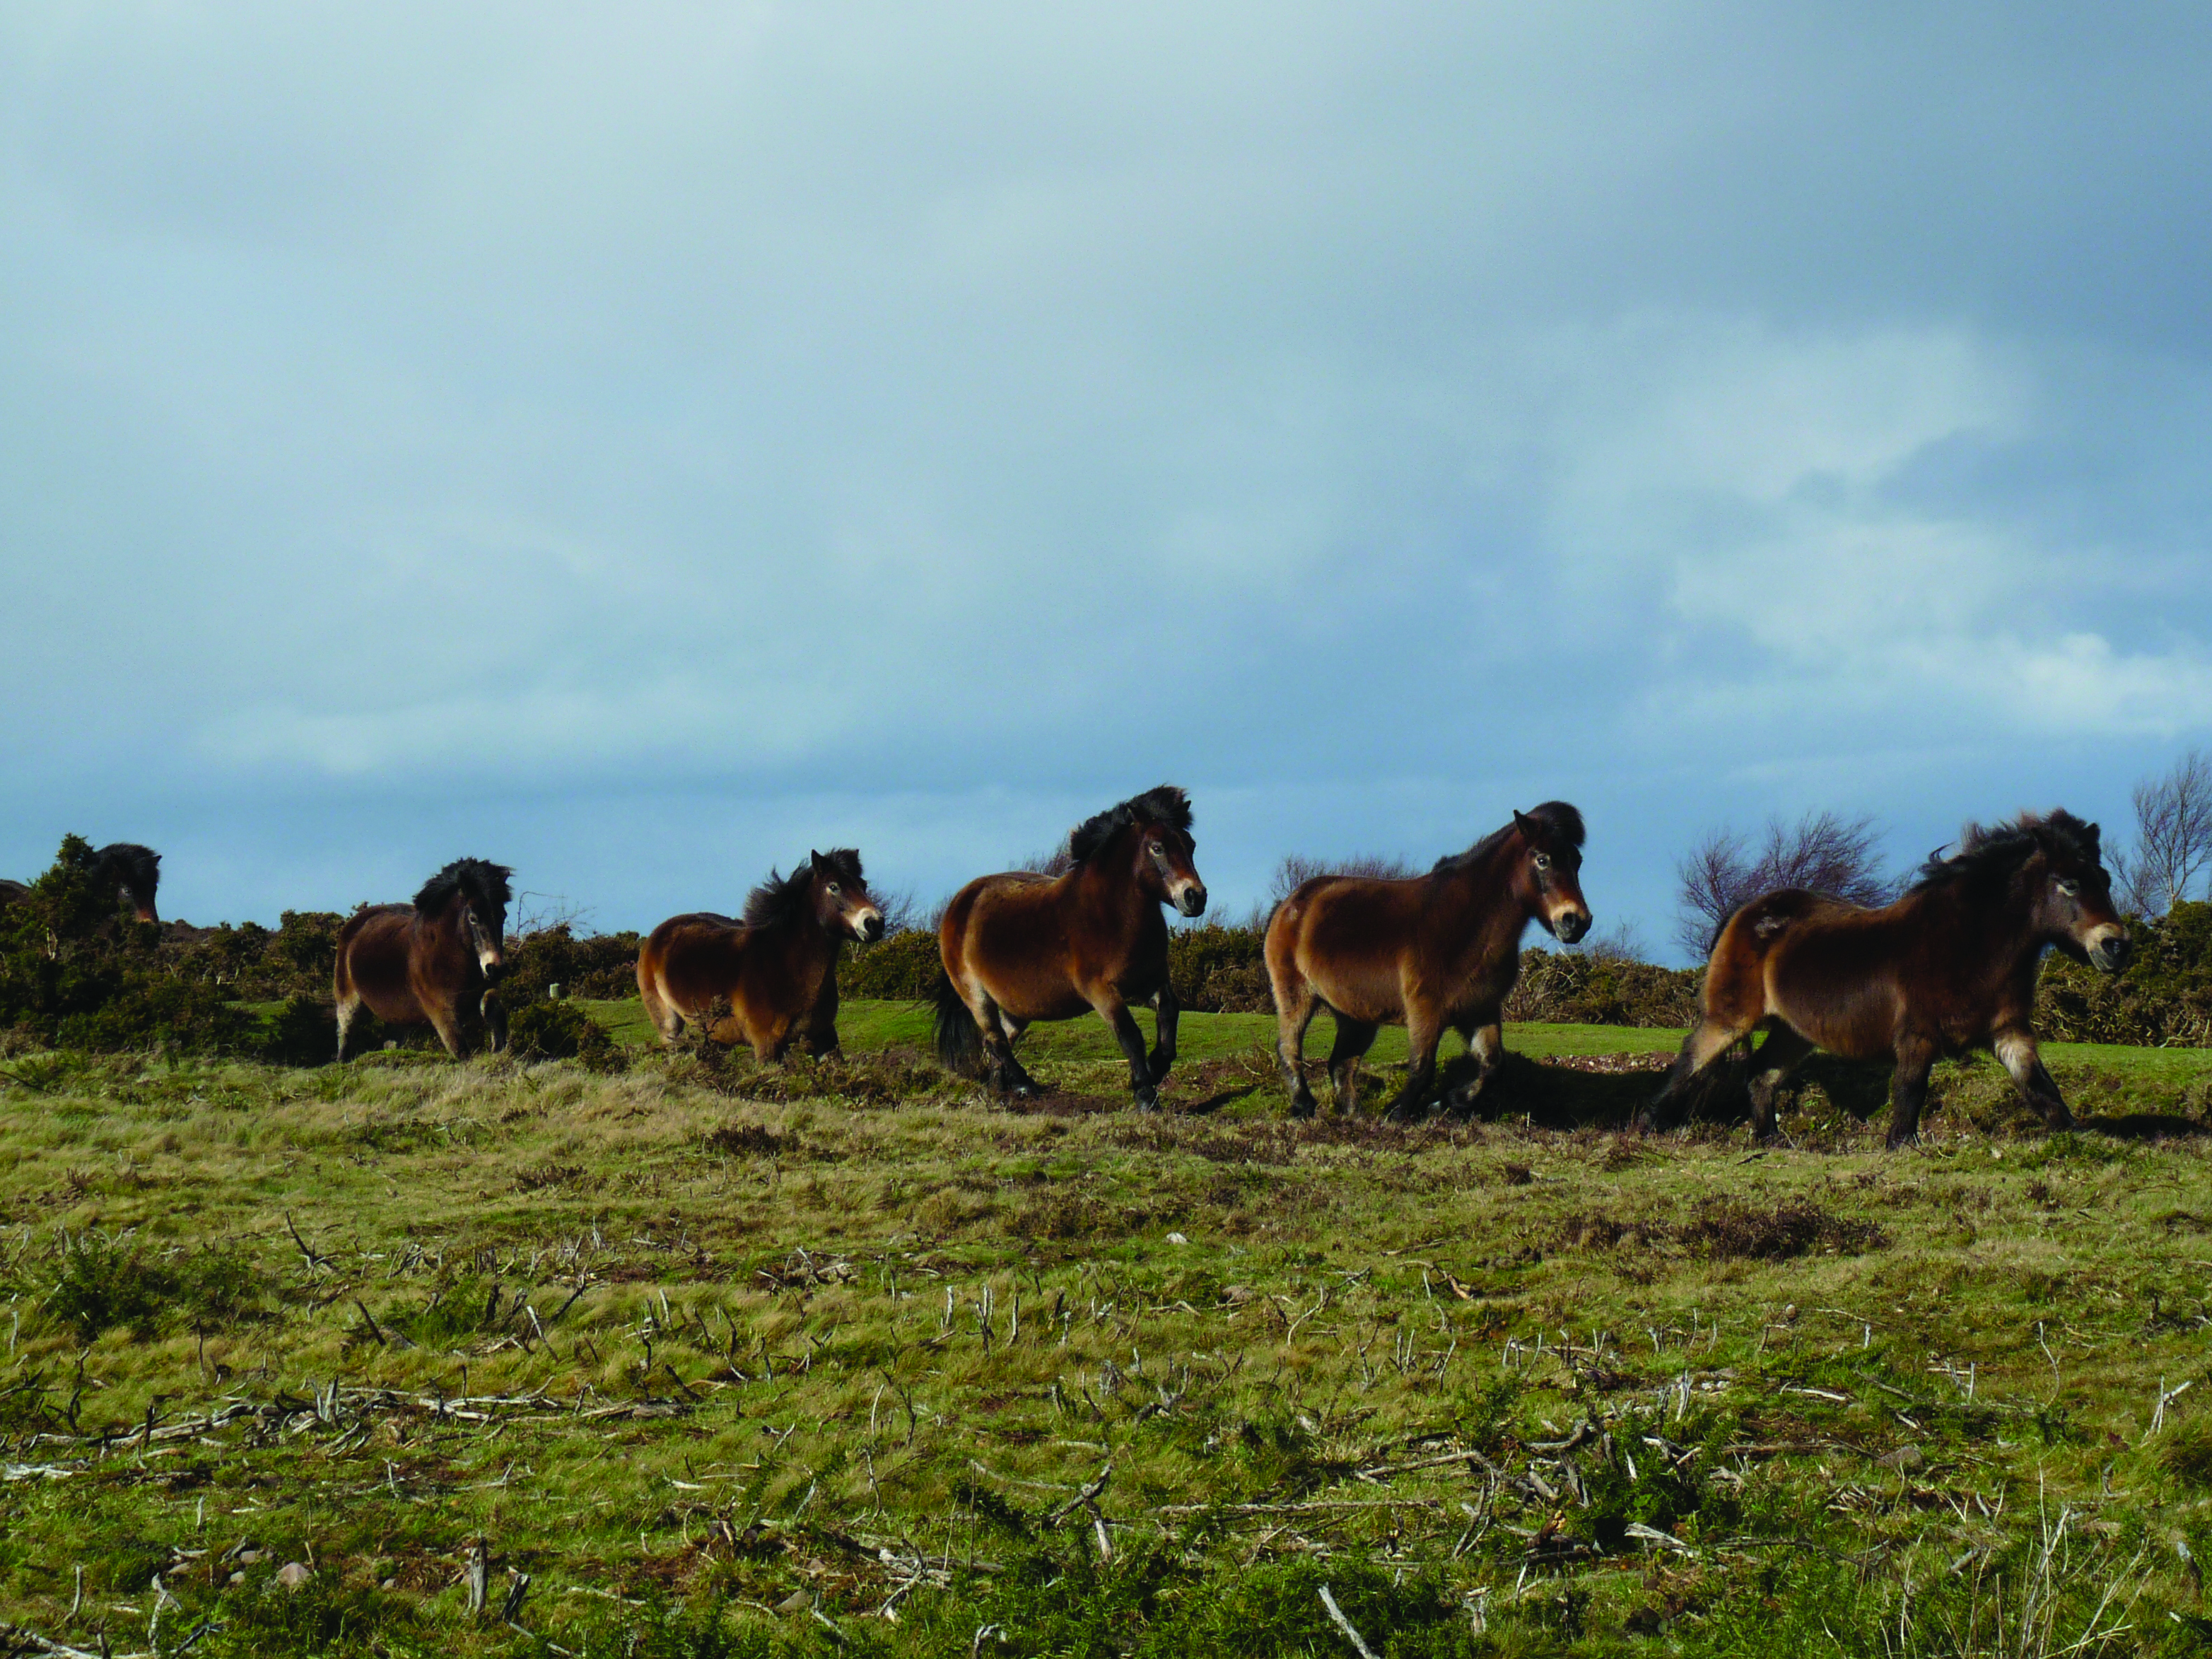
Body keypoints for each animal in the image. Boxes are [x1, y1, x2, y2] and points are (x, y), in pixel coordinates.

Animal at [334, 858, 515, 1066]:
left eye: (503, 915)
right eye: (473, 918)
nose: (496, 968)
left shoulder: (487, 990)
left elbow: (496, 1018)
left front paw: (497, 1052)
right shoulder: (442, 1010)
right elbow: (461, 1050)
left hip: (398, 1017)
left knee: (390, 1043)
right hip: (348, 1000)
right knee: (345, 1035)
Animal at [641, 849, 880, 1070]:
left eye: (863, 884)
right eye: (834, 887)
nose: (875, 923)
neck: (788, 965)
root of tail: (656, 935)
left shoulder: (825, 1037)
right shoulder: (767, 1046)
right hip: (669, 1027)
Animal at [933, 782, 1212, 1119]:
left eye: (1191, 845)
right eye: (1157, 847)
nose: (1195, 897)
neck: (1112, 916)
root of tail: (961, 902)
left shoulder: (1152, 980)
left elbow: (1170, 1013)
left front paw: (1157, 1067)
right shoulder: (1101, 990)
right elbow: (1130, 1036)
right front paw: (1145, 1096)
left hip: (1018, 1007)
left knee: (999, 1042)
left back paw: (1000, 1090)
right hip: (975, 994)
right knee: (995, 1040)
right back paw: (1024, 1085)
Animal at [1265, 800, 1592, 1123]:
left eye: (1577, 861)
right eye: (1543, 860)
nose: (1576, 922)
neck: (1469, 923)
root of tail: (1292, 903)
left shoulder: (1481, 1010)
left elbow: (1493, 1066)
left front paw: (1447, 1103)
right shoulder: (1426, 1010)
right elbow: (1422, 1069)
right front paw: (1400, 1115)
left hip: (1355, 1015)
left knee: (1341, 1065)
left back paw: (1355, 1117)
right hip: (1297, 998)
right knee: (1289, 1050)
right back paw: (1304, 1107)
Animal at [1637, 814, 2132, 1150]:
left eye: (2105, 879)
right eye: (2069, 883)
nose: (2116, 946)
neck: (1970, 943)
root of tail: (1745, 912)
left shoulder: (2009, 1034)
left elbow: (2043, 1091)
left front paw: (2080, 1139)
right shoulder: (1918, 1035)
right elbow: (1909, 1093)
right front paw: (1900, 1146)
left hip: (1794, 1031)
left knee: (1761, 1073)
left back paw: (1772, 1141)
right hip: (1730, 1018)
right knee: (1690, 1060)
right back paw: (1647, 1128)